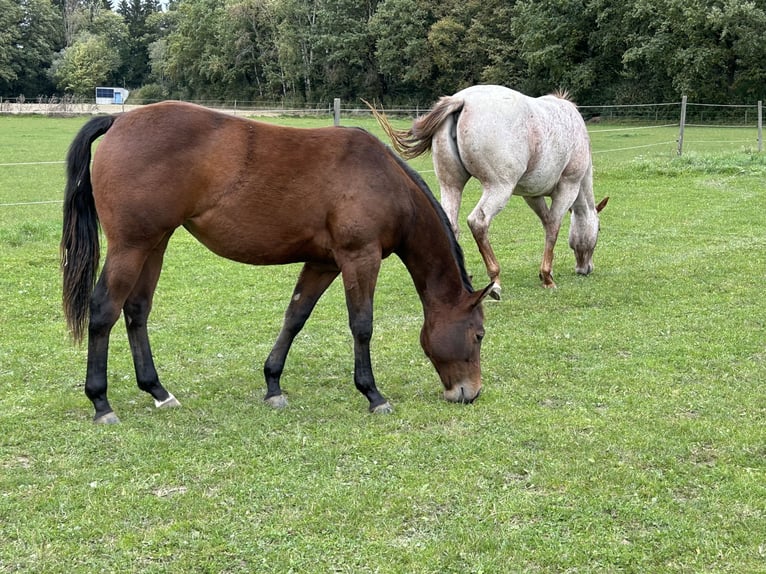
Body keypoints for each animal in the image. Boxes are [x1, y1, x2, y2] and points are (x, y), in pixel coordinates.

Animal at [61, 101, 494, 424]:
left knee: (136, 310)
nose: (469, 393)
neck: (383, 180)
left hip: (155, 244)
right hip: (130, 247)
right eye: (478, 335)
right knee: (104, 309)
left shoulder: (323, 263)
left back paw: (158, 391)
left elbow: (295, 318)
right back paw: (101, 403)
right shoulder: (360, 258)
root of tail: (120, 120)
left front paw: (273, 385)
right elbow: (362, 326)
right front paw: (373, 394)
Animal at [370, 85, 608, 298]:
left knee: (451, 225)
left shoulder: (532, 195)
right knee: (478, 222)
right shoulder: (568, 187)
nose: (585, 269)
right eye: (599, 229)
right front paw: (547, 276)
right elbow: (553, 227)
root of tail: (462, 100)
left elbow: (547, 222)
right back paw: (495, 281)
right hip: (498, 188)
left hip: (451, 186)